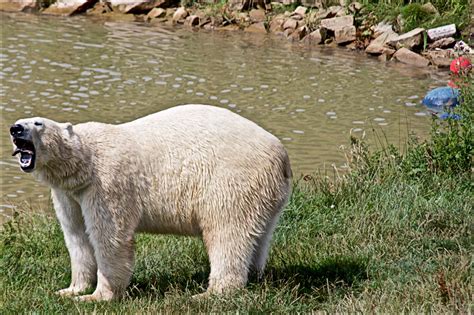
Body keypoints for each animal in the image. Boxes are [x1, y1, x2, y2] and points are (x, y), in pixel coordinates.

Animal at [10, 105, 292, 302]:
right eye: (23, 120)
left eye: (38, 122)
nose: (15, 128)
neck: (86, 161)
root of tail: (281, 154)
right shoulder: (69, 194)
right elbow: (77, 237)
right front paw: (70, 290)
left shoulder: (107, 183)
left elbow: (109, 237)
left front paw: (98, 296)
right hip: (265, 192)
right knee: (259, 234)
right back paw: (255, 275)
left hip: (232, 180)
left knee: (227, 233)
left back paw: (210, 293)